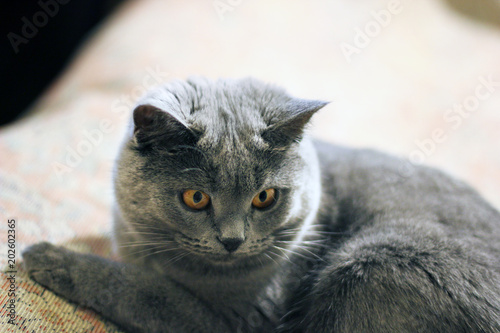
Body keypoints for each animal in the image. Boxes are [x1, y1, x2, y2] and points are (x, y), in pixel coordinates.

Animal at [23, 76, 500, 330]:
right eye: (196, 197)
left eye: (265, 197)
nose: (233, 240)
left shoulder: (241, 319)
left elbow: (144, 292)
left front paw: (49, 258)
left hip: (378, 266)